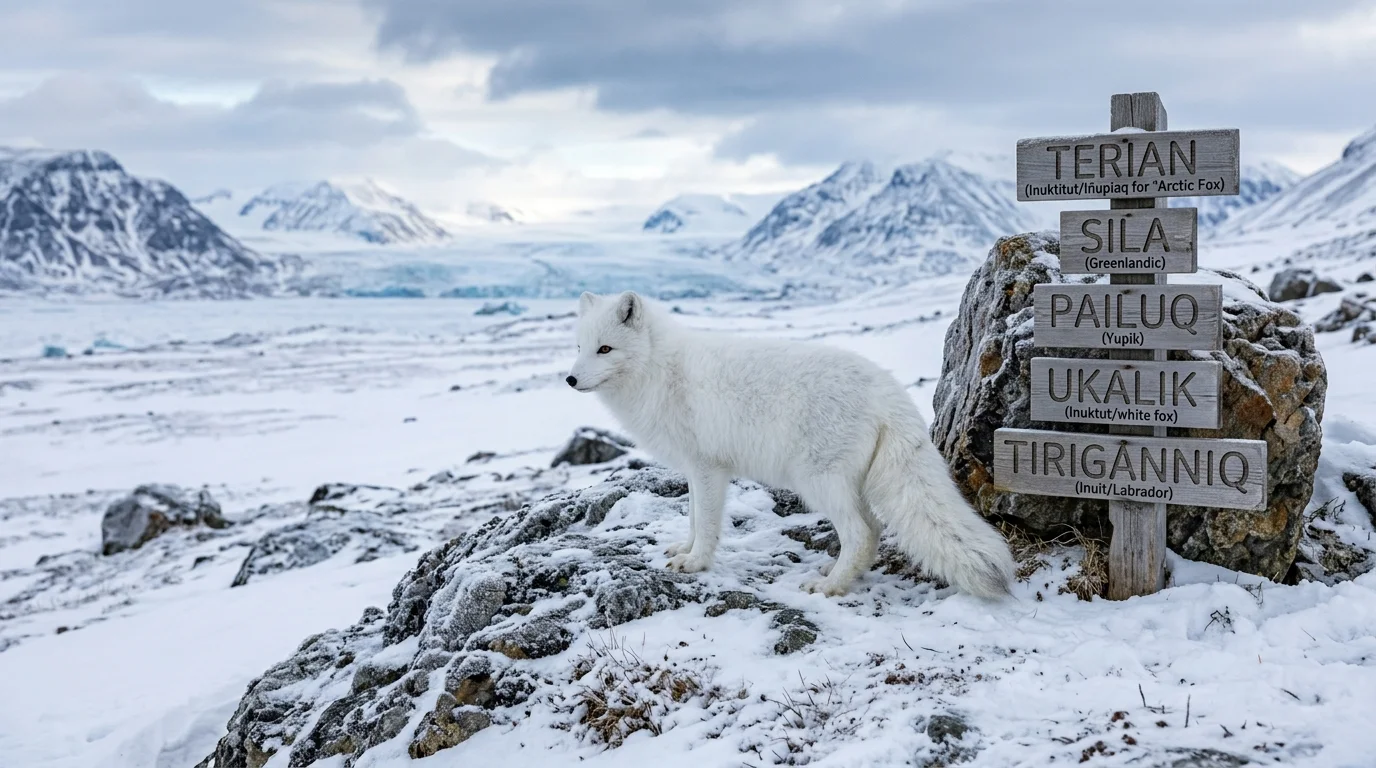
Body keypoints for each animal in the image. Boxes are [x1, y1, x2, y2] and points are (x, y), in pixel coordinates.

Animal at [565, 291, 1015, 598]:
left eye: (605, 349)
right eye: (579, 347)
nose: (570, 379)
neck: (660, 370)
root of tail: (887, 391)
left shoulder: (709, 468)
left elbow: (707, 524)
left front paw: (696, 563)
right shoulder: (696, 470)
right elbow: (693, 519)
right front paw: (684, 550)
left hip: (817, 481)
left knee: (861, 532)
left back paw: (831, 588)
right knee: (870, 531)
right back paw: (842, 576)